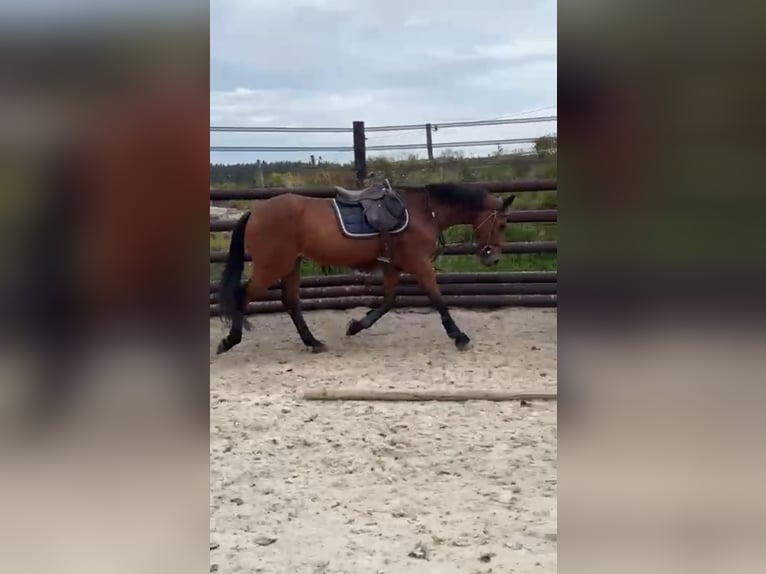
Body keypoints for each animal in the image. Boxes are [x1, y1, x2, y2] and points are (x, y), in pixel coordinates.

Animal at [215, 182, 516, 355]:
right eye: (502, 224)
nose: (493, 258)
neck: (423, 212)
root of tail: (255, 212)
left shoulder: (393, 267)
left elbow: (388, 301)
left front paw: (356, 326)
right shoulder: (419, 265)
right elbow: (438, 300)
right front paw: (459, 337)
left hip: (291, 265)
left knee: (290, 301)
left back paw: (313, 342)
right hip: (273, 266)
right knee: (243, 295)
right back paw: (230, 341)